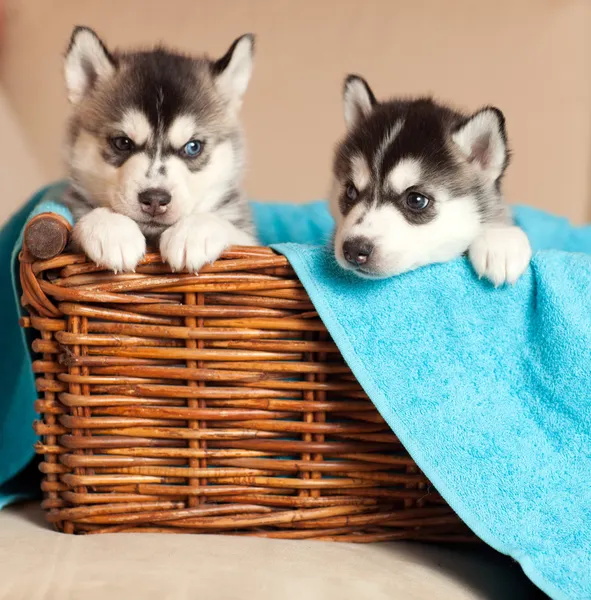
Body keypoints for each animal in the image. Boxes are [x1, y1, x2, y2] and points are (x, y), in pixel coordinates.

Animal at [61, 27, 258, 272]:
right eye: (123, 142)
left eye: (192, 147)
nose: (155, 199)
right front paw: (111, 228)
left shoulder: (250, 241)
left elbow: (230, 229)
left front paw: (193, 232)